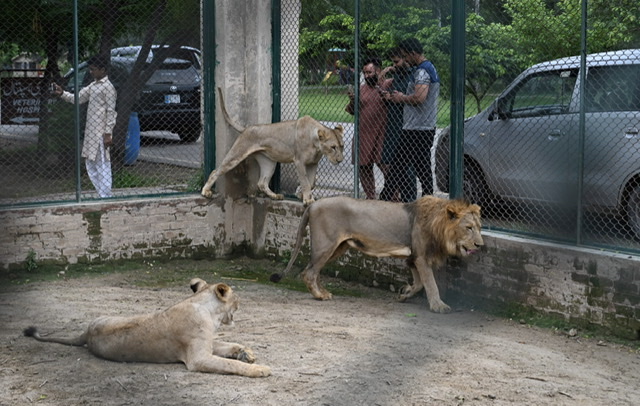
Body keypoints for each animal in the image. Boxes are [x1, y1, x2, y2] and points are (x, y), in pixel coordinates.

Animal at [23, 278, 271, 378]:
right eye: (236, 297)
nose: (241, 302)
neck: (208, 311)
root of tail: (87, 332)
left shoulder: (208, 344)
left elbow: (227, 344)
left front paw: (246, 352)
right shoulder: (197, 358)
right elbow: (230, 365)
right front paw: (260, 369)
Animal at [201, 88, 345, 205]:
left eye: (342, 146)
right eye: (333, 147)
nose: (340, 160)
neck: (316, 144)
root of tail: (246, 128)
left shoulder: (313, 163)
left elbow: (312, 181)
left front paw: (301, 195)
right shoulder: (299, 161)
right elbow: (305, 181)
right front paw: (307, 200)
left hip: (269, 162)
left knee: (262, 183)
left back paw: (275, 196)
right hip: (236, 155)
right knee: (216, 171)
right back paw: (206, 191)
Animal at [270, 196, 483, 313]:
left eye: (480, 227)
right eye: (469, 228)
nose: (480, 245)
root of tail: (312, 204)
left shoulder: (412, 258)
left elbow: (419, 284)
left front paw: (404, 293)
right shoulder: (421, 257)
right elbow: (430, 284)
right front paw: (439, 306)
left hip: (338, 248)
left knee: (313, 271)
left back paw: (323, 292)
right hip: (326, 245)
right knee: (309, 272)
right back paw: (320, 296)